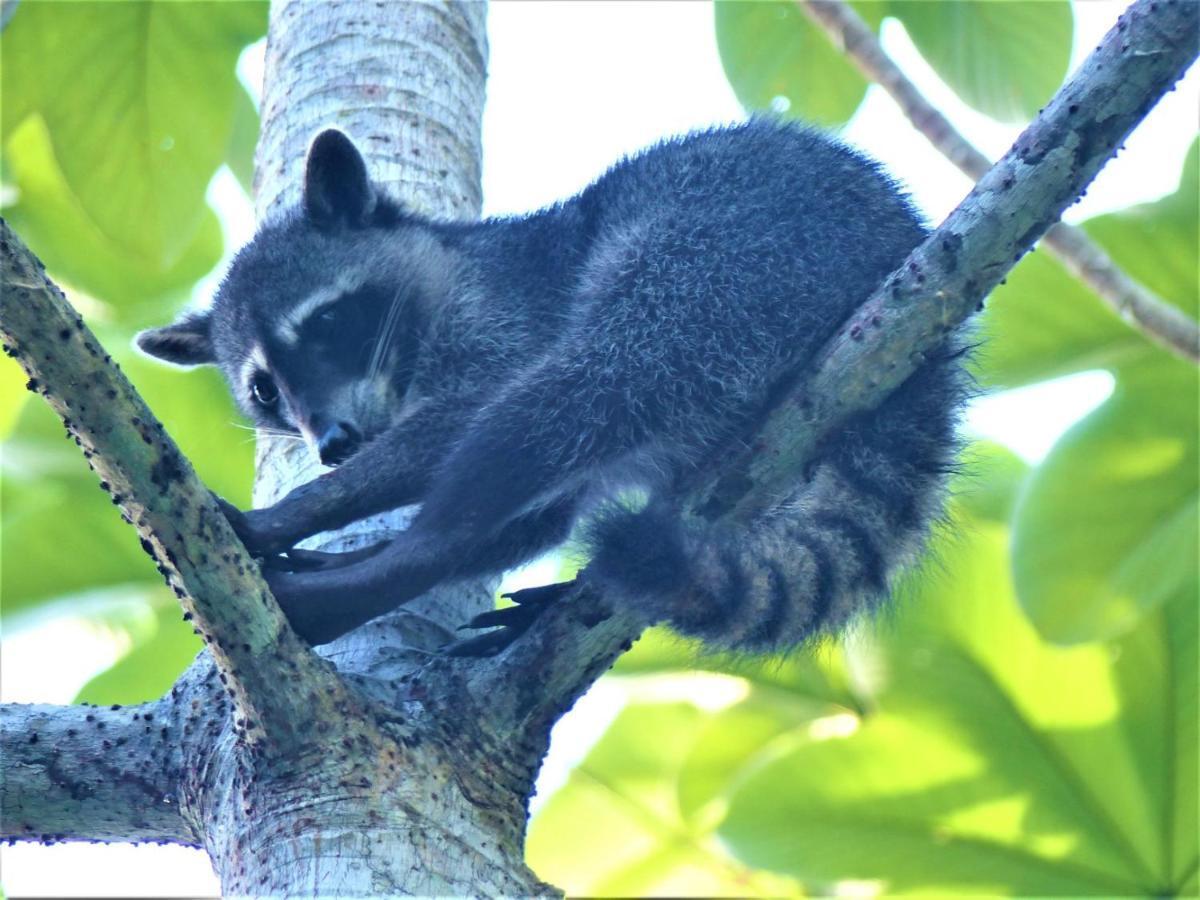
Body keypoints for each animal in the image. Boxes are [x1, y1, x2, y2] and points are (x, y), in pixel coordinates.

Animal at [138, 121, 964, 657]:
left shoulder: (508, 314)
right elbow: (539, 516)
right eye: (263, 393)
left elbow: (470, 421)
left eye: (327, 322)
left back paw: (399, 562)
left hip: (727, 270)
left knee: (574, 395)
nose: (333, 444)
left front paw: (290, 517)